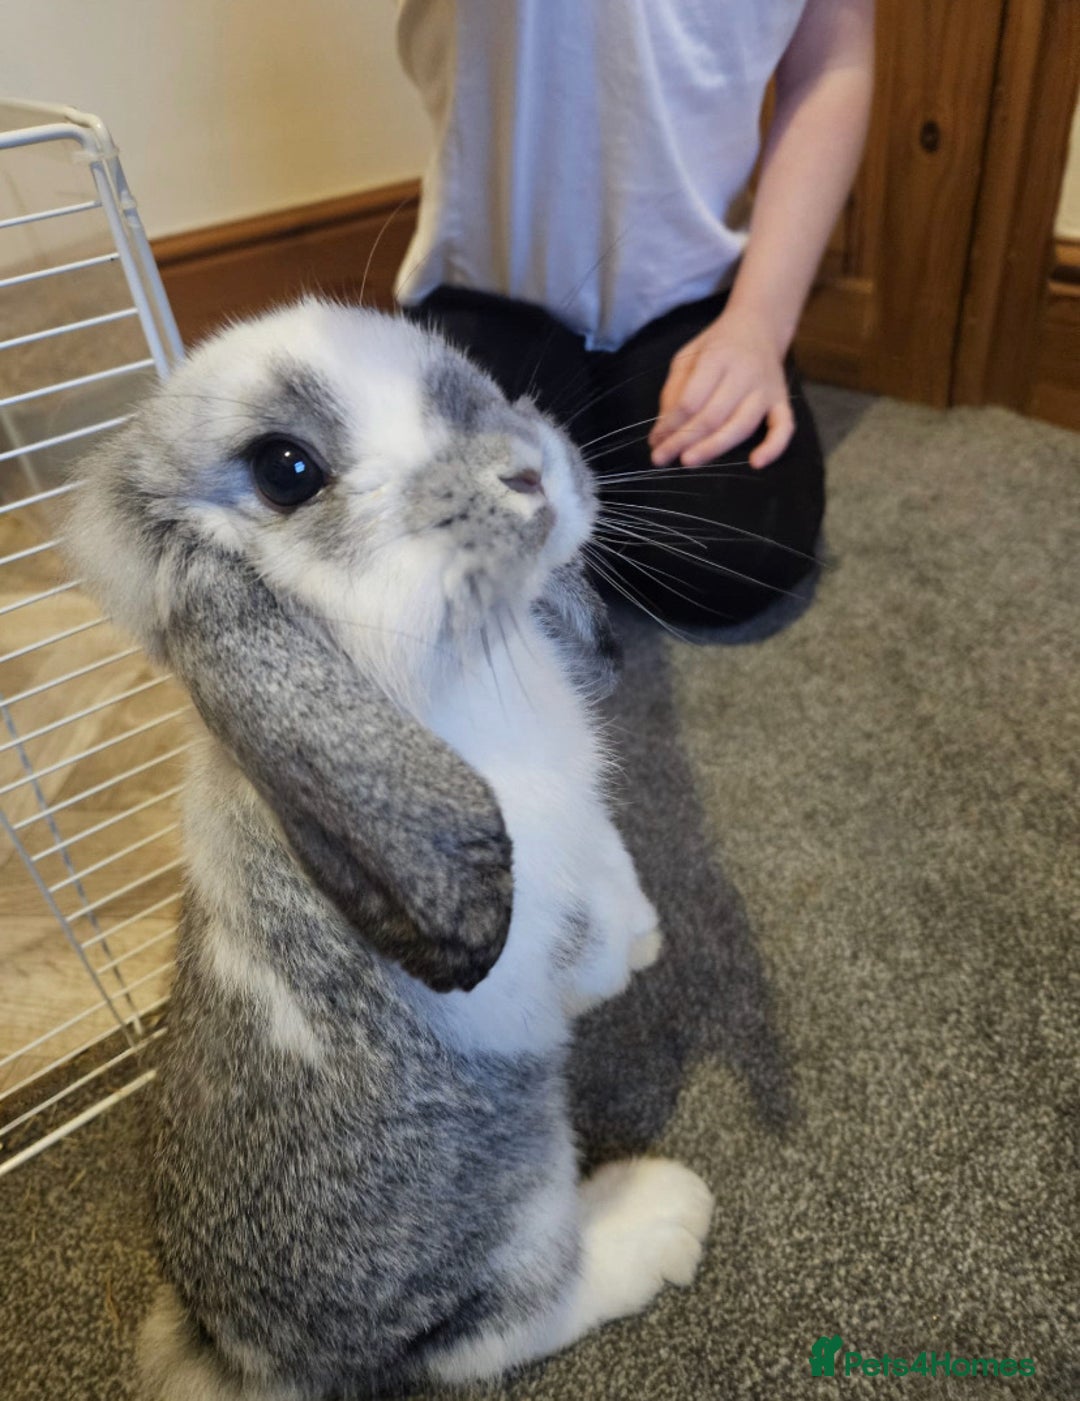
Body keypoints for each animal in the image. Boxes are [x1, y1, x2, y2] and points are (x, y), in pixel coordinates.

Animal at [67, 298, 714, 1400]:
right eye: (286, 469)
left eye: (457, 377)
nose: (527, 471)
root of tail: (245, 1353)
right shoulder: (531, 911)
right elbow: (567, 953)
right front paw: (613, 971)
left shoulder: (590, 831)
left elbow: (618, 875)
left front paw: (645, 943)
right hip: (509, 1186)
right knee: (492, 1327)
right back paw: (663, 1218)